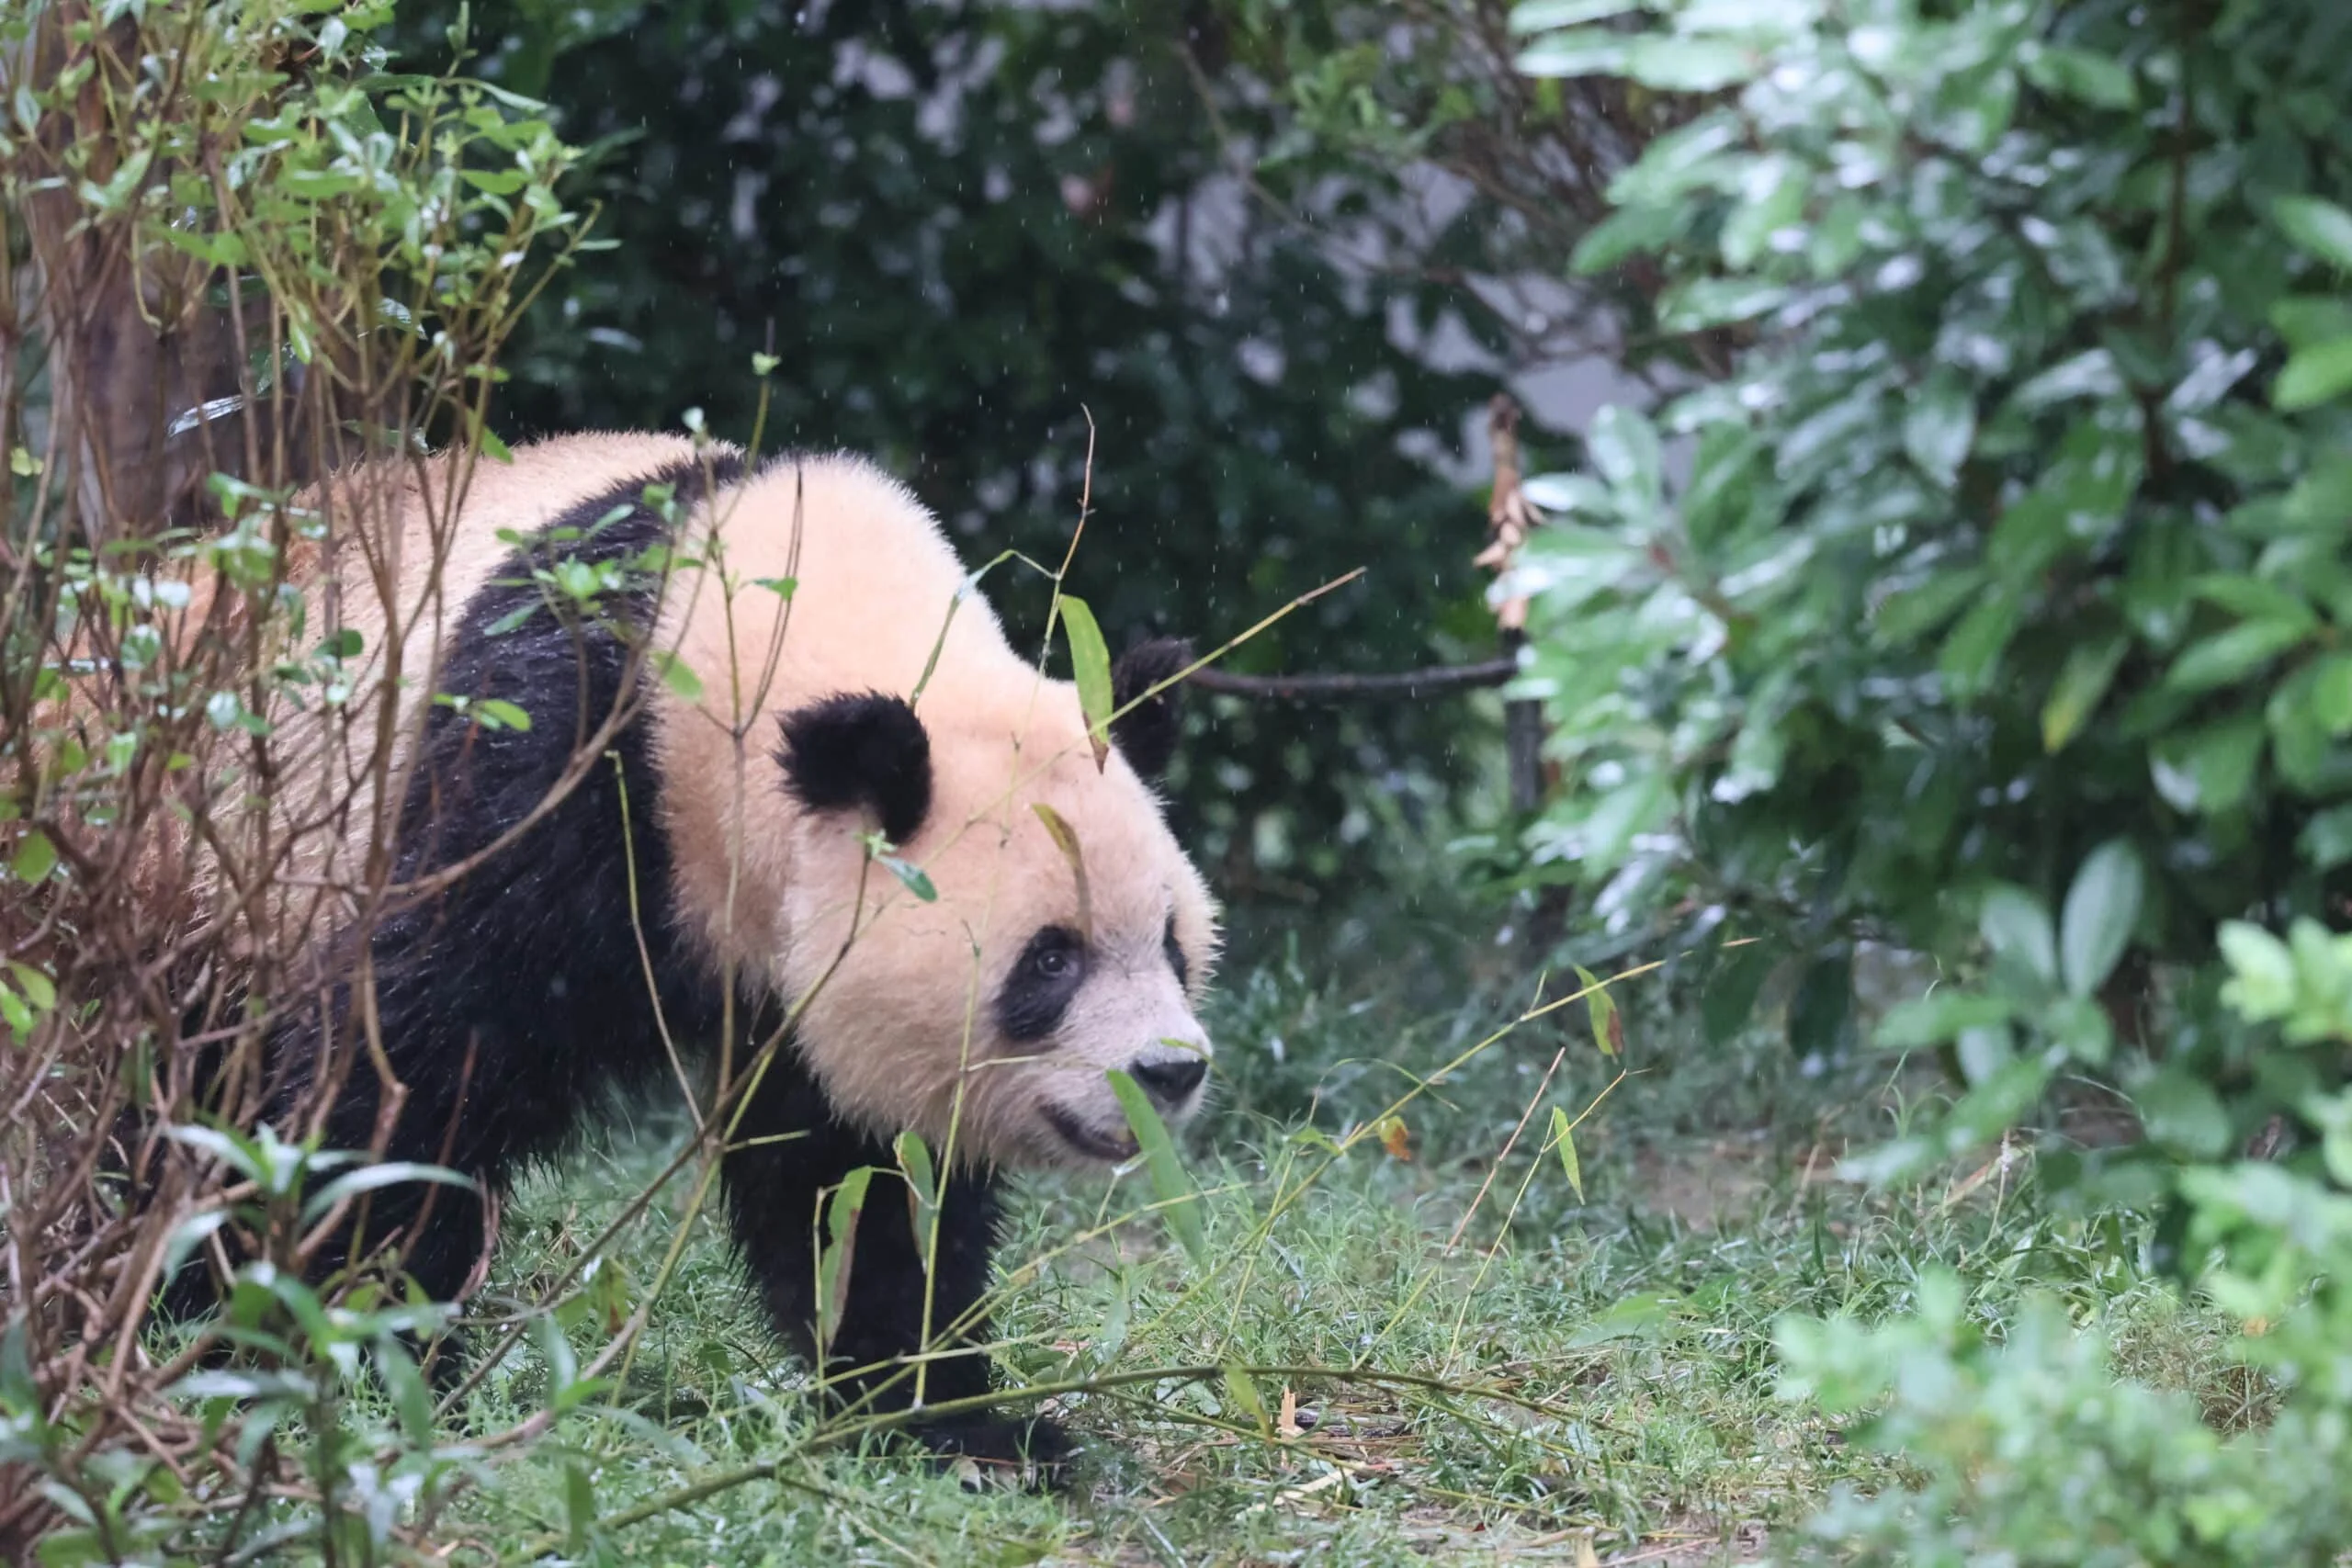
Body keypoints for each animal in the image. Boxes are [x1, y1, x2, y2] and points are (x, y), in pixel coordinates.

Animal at [153, 432, 1219, 1472]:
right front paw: (361, 1354)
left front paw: (954, 1421)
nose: (1168, 1073)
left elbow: (851, 1182)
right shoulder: (543, 764)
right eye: (1050, 960)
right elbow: (414, 1063)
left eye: (1172, 944)